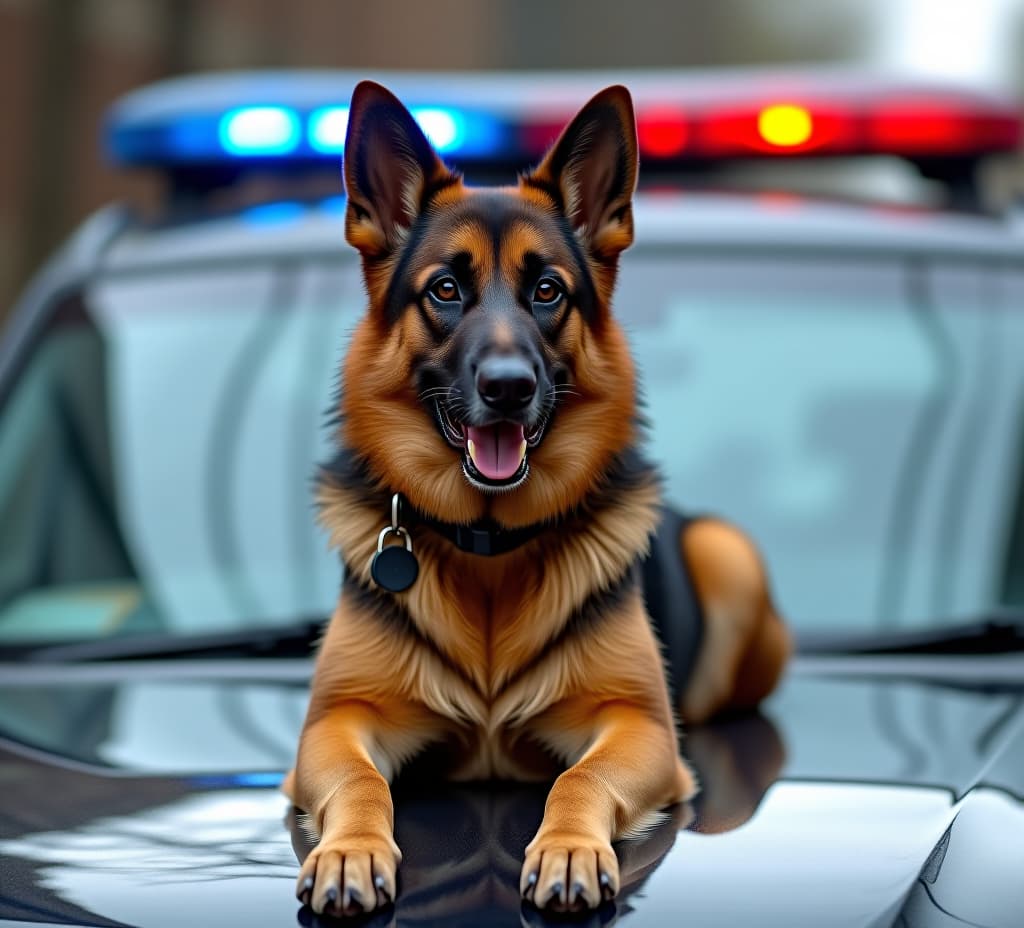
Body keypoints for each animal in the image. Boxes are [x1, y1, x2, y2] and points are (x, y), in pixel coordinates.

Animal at [284, 82, 786, 913]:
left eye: (548, 291)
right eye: (445, 290)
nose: (509, 388)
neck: (489, 549)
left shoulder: (642, 728)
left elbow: (578, 777)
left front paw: (570, 849)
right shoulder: (335, 724)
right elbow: (358, 779)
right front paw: (350, 851)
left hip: (729, 553)